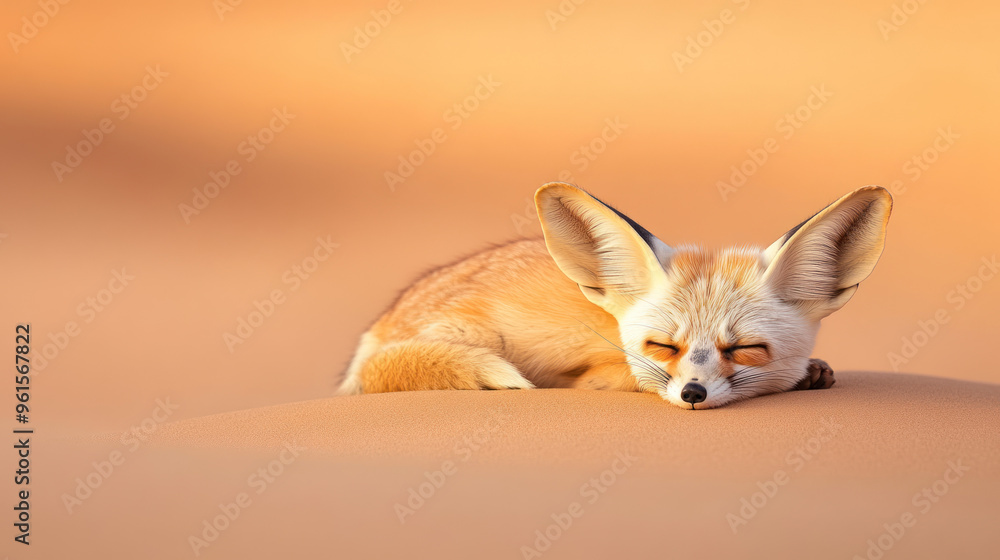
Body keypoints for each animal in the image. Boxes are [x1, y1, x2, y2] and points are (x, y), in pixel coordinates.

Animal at [337, 182, 892, 409]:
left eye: (745, 349)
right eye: (663, 346)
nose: (692, 394)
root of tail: (382, 323)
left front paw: (811, 372)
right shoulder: (597, 375)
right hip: (473, 335)